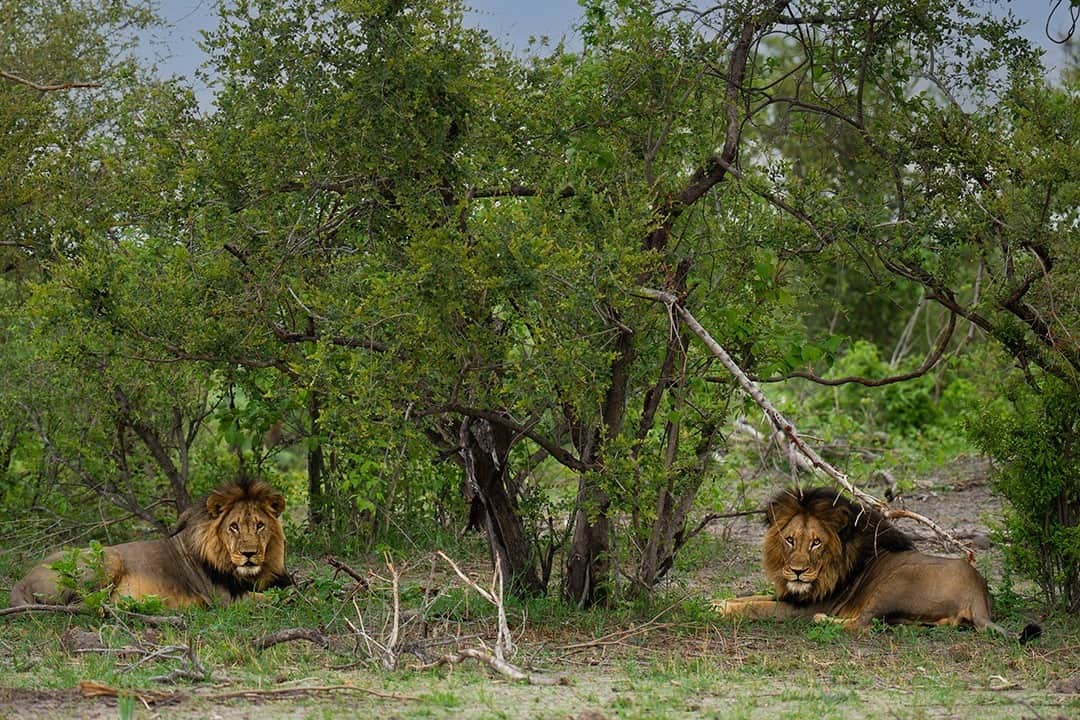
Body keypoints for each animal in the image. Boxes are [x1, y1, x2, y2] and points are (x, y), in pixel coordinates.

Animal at [7, 479, 292, 609]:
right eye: (233, 526)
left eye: (260, 525)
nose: (249, 554)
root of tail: (22, 580)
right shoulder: (222, 598)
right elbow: (271, 598)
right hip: (108, 558)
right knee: (82, 605)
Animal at [714, 487, 1040, 642]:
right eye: (790, 540)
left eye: (816, 542)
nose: (797, 571)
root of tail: (979, 595)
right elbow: (749, 597)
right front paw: (718, 601)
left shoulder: (804, 607)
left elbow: (756, 607)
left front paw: (720, 609)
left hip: (895, 582)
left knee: (863, 623)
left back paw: (825, 621)